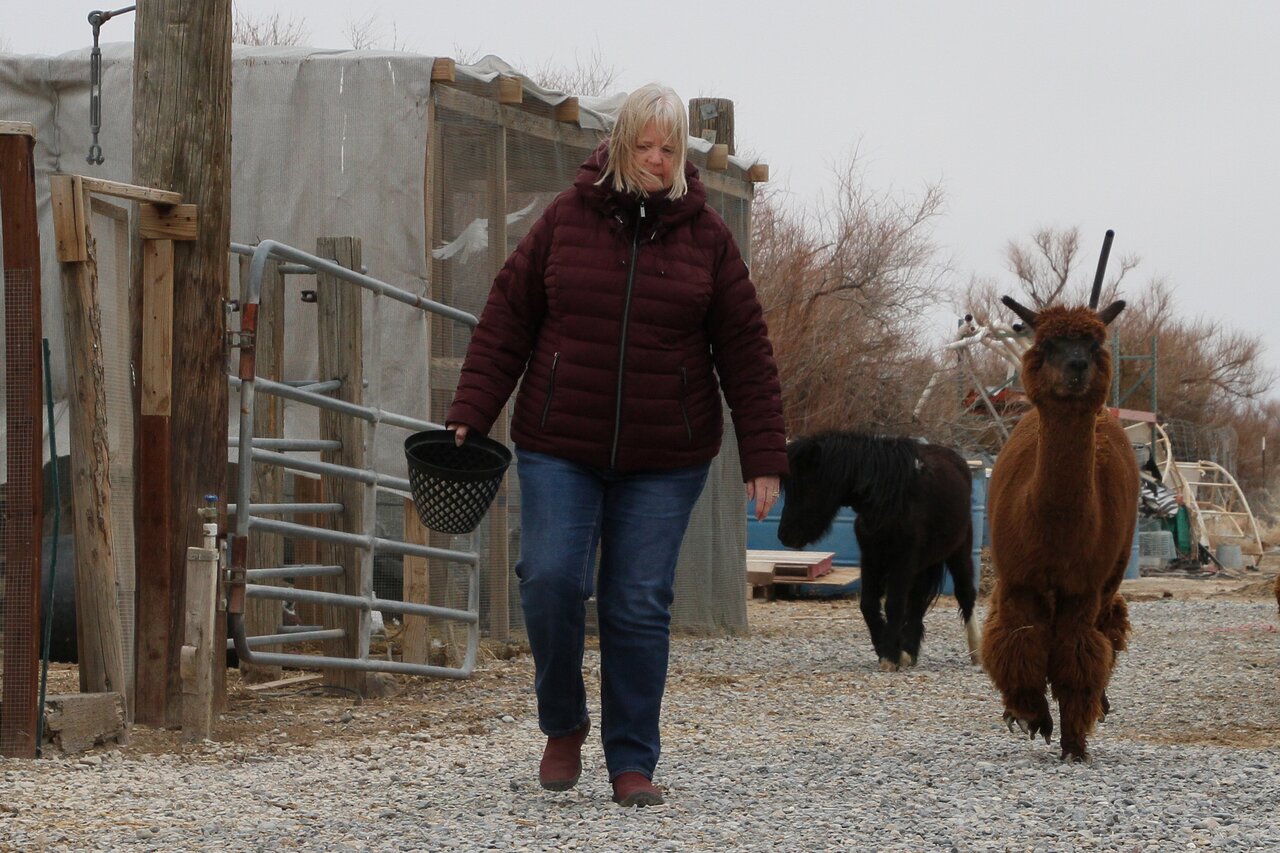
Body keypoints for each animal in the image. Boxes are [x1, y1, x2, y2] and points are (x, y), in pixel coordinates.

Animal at [777, 431, 982, 671]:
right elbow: (868, 603)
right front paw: (886, 646)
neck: (889, 499)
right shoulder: (870, 558)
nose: (785, 535)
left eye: (804, 485)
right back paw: (909, 651)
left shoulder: (903, 559)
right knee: (918, 600)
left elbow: (894, 604)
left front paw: (890, 656)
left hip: (958, 552)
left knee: (965, 593)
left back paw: (977, 651)